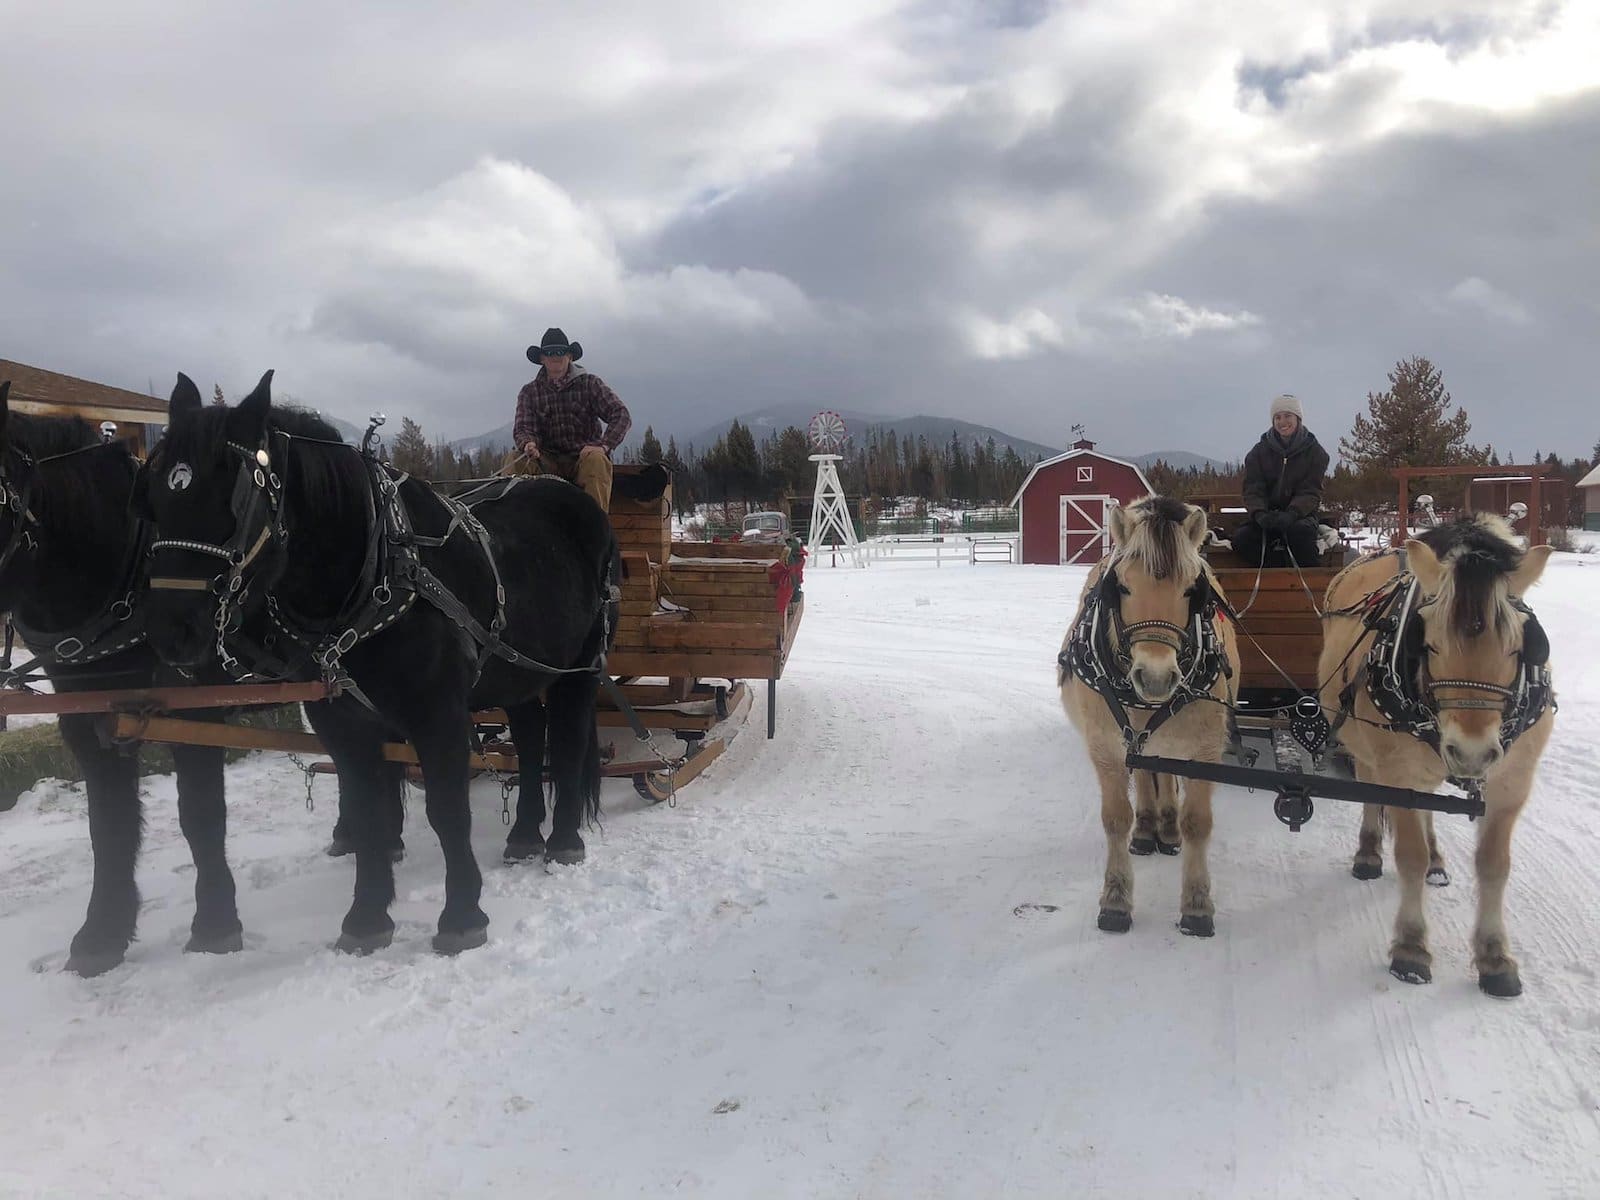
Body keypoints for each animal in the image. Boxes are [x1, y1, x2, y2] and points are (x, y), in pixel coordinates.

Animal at [0, 382, 248, 979]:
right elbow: (107, 825)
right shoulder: (90, 718)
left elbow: (199, 812)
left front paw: (216, 922)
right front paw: (102, 933)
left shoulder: (194, 710)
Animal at [142, 376, 617, 960]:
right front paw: (366, 918)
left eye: (233, 497)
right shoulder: (343, 723)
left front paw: (461, 916)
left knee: (567, 743)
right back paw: (526, 833)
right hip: (520, 673)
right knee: (530, 740)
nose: (171, 631)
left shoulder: (439, 715)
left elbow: (447, 810)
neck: (376, 574)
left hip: (581, 666)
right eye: (153, 497)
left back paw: (564, 840)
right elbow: (367, 811)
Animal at [1062, 496, 1235, 940]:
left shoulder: (1205, 749)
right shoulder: (1105, 744)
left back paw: (1167, 829)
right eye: (1122, 586)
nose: (1155, 678)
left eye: (1192, 589)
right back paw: (1146, 829)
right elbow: (1114, 818)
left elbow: (1198, 823)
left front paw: (1197, 905)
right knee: (1143, 775)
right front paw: (1115, 900)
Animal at [1318, 518, 1555, 998]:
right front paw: (1410, 947)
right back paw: (1369, 853)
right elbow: (1408, 857)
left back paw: (1437, 861)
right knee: (1371, 789)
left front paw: (1495, 957)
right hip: (1366, 748)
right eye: (1428, 643)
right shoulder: (1399, 773)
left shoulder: (1512, 782)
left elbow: (1494, 865)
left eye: (1518, 646)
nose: (1471, 753)